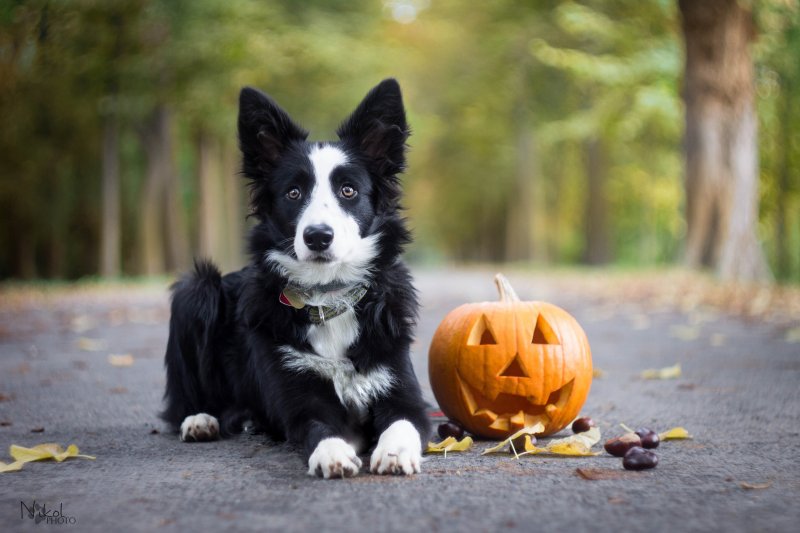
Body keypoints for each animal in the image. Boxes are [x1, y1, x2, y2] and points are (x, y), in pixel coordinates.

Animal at [158, 79, 432, 478]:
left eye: (348, 190)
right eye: (293, 192)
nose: (318, 236)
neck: (328, 294)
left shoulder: (403, 391)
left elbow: (403, 422)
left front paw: (394, 453)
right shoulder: (300, 400)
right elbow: (320, 426)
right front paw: (331, 453)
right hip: (196, 290)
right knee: (185, 402)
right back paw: (200, 419)